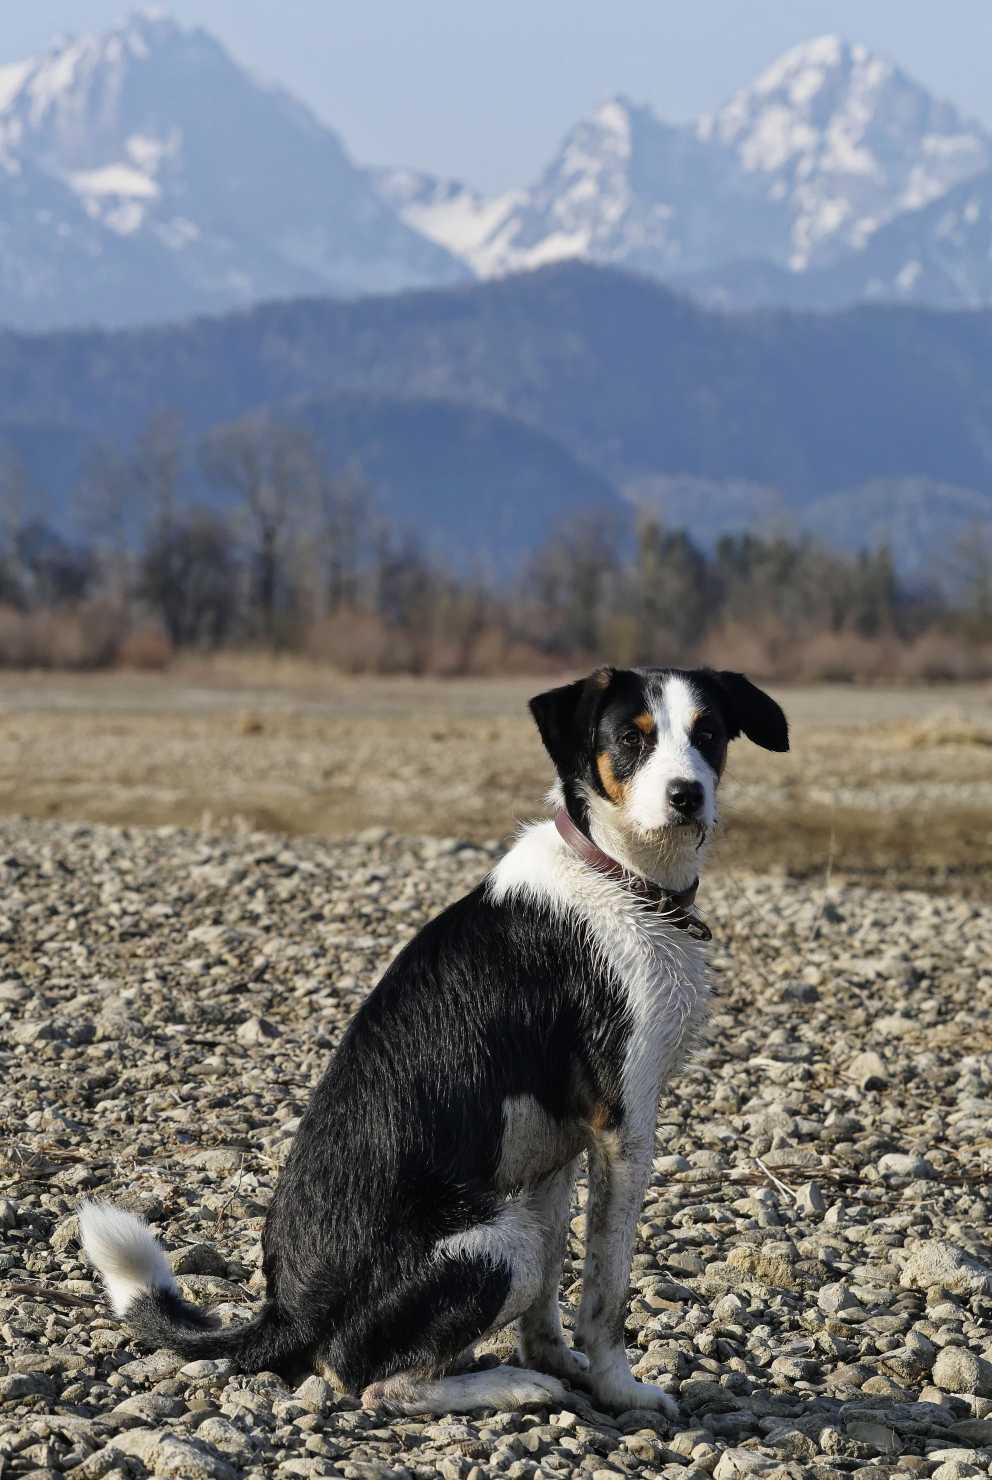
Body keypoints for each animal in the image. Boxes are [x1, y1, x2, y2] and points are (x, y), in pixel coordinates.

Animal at [79, 666, 793, 1414]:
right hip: (499, 1243)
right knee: (367, 1380)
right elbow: (606, 1293)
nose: (688, 795)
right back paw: (512, 1386)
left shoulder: (558, 1148)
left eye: (709, 734)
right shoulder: (622, 1127)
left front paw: (559, 1360)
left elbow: (550, 1300)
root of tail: (286, 1312)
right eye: (631, 739)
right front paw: (618, 1389)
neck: (616, 874)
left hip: (516, 1222)